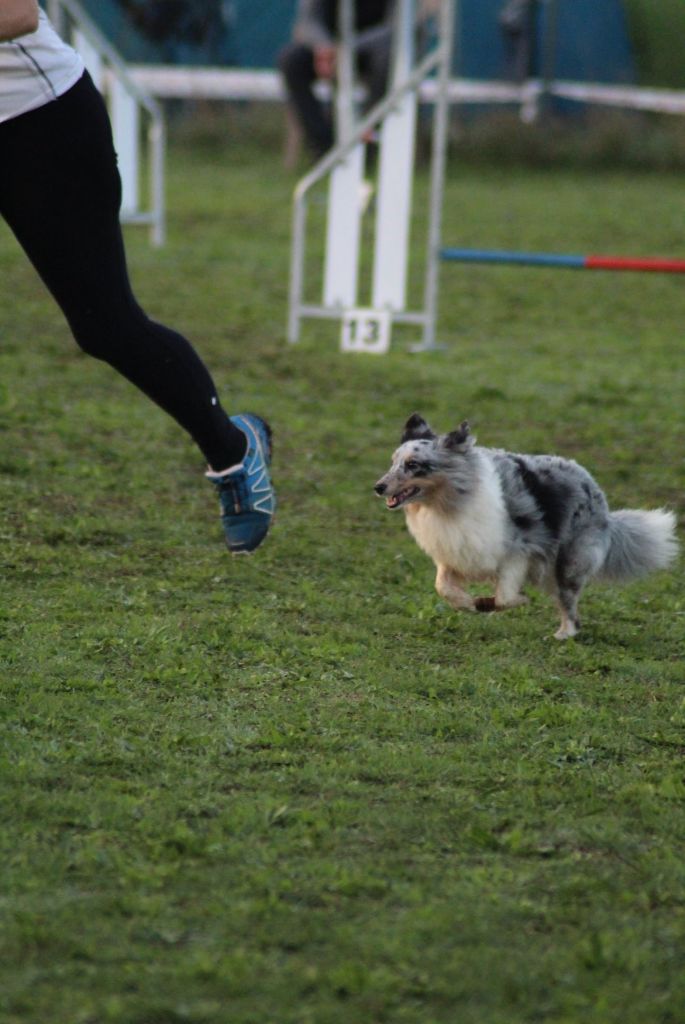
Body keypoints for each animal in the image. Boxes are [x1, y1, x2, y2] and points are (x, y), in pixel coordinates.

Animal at [376, 415, 675, 638]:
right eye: (392, 462)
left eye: (413, 464)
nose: (378, 487)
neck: (449, 501)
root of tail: (598, 495)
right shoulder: (456, 550)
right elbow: (443, 586)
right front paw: (468, 602)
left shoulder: (518, 551)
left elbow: (505, 596)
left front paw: (505, 601)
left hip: (569, 562)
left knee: (569, 604)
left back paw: (563, 634)